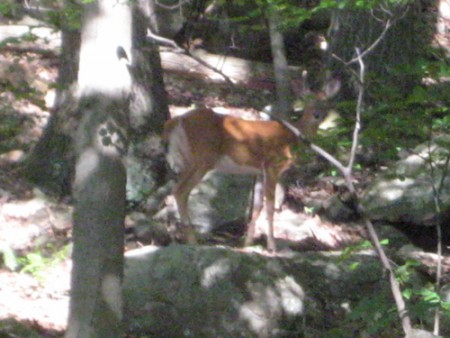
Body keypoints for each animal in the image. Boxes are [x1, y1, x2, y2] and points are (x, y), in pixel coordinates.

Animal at [163, 78, 340, 251]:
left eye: (326, 102)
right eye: (306, 99)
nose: (317, 115)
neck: (291, 138)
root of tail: (177, 120)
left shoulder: (259, 171)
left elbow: (256, 207)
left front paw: (247, 243)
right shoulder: (272, 165)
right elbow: (270, 206)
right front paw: (271, 247)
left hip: (190, 159)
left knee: (178, 190)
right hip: (202, 158)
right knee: (180, 190)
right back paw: (193, 242)